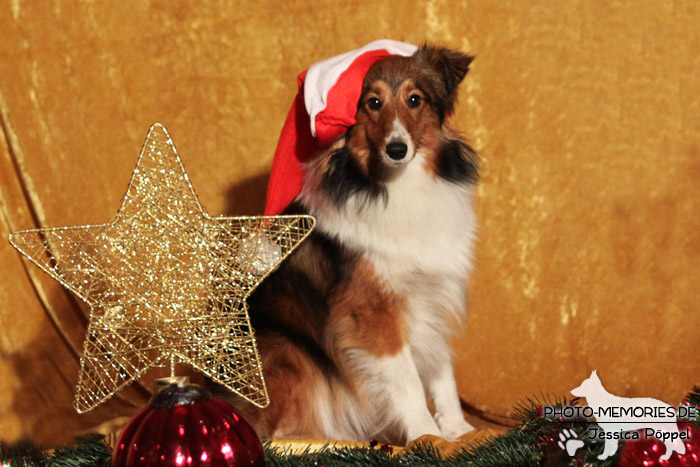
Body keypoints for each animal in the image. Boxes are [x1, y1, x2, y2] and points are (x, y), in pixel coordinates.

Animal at [239, 44, 476, 446]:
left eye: (415, 99)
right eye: (372, 103)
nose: (397, 149)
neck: (398, 185)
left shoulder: (429, 293)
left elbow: (441, 368)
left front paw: (458, 430)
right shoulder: (370, 309)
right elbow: (408, 379)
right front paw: (427, 435)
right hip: (286, 351)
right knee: (271, 431)